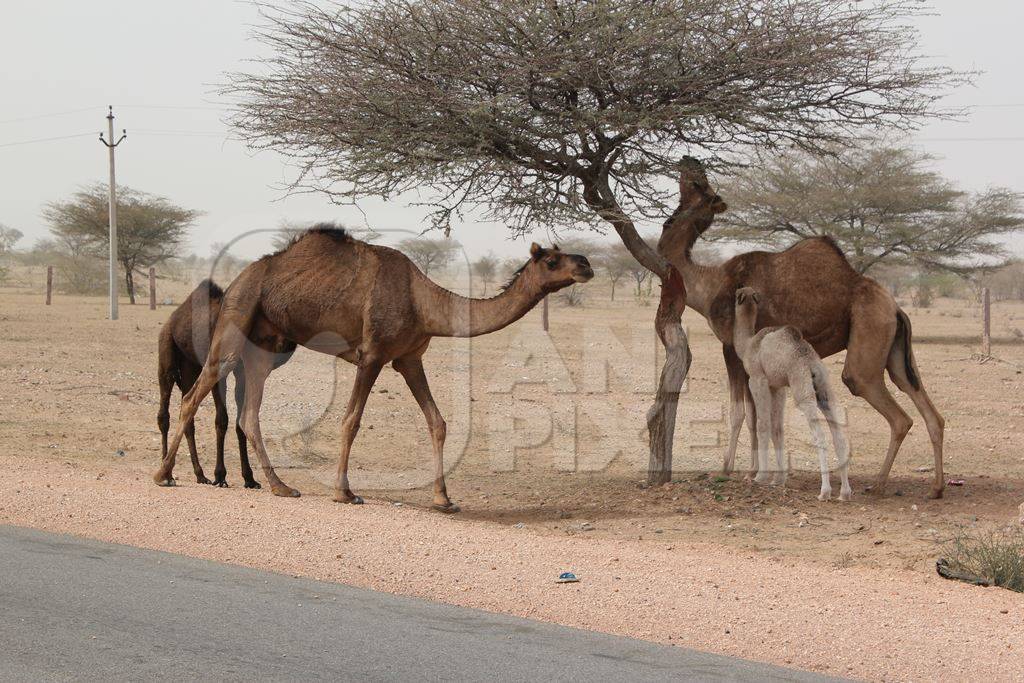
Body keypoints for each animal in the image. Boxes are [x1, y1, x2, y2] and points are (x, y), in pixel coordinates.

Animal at [155, 227, 598, 509]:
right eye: (552, 260)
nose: (586, 264)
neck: (424, 302)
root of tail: (235, 281)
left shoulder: (408, 358)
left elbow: (437, 421)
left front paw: (444, 499)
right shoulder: (372, 355)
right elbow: (351, 420)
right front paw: (345, 493)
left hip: (267, 347)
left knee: (248, 413)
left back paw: (280, 487)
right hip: (236, 323)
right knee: (194, 395)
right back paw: (165, 475)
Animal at [733, 288, 851, 501]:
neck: (747, 344)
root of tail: (811, 363)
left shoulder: (758, 378)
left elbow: (763, 424)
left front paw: (760, 477)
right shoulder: (777, 386)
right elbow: (777, 428)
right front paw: (779, 479)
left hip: (801, 387)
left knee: (820, 435)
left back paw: (824, 492)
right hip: (823, 387)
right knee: (838, 435)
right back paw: (844, 493)